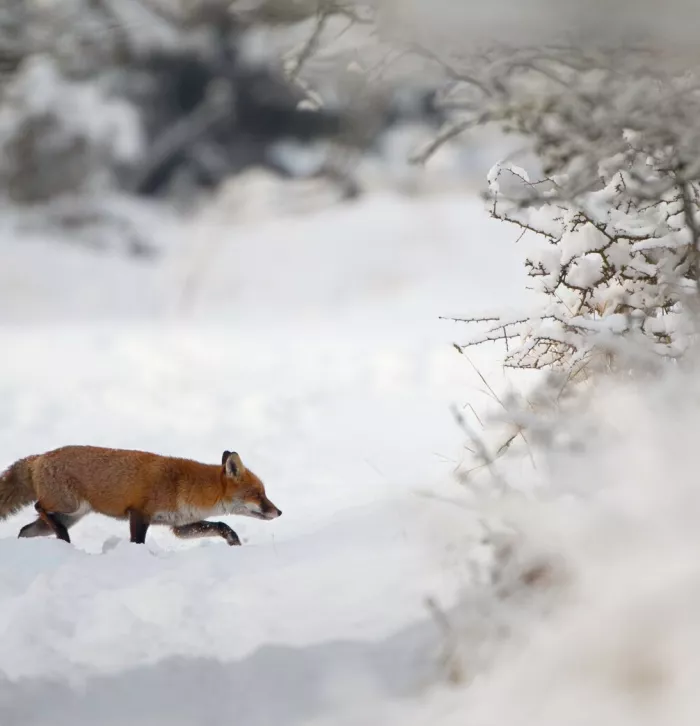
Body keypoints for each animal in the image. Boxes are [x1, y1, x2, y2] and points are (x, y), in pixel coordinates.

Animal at [0, 446, 281, 546]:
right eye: (259, 494)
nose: (278, 512)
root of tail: (39, 457)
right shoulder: (139, 513)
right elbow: (138, 541)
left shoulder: (179, 526)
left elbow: (221, 524)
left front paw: (233, 540)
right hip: (69, 506)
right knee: (39, 506)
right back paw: (62, 536)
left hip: (69, 515)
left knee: (25, 529)